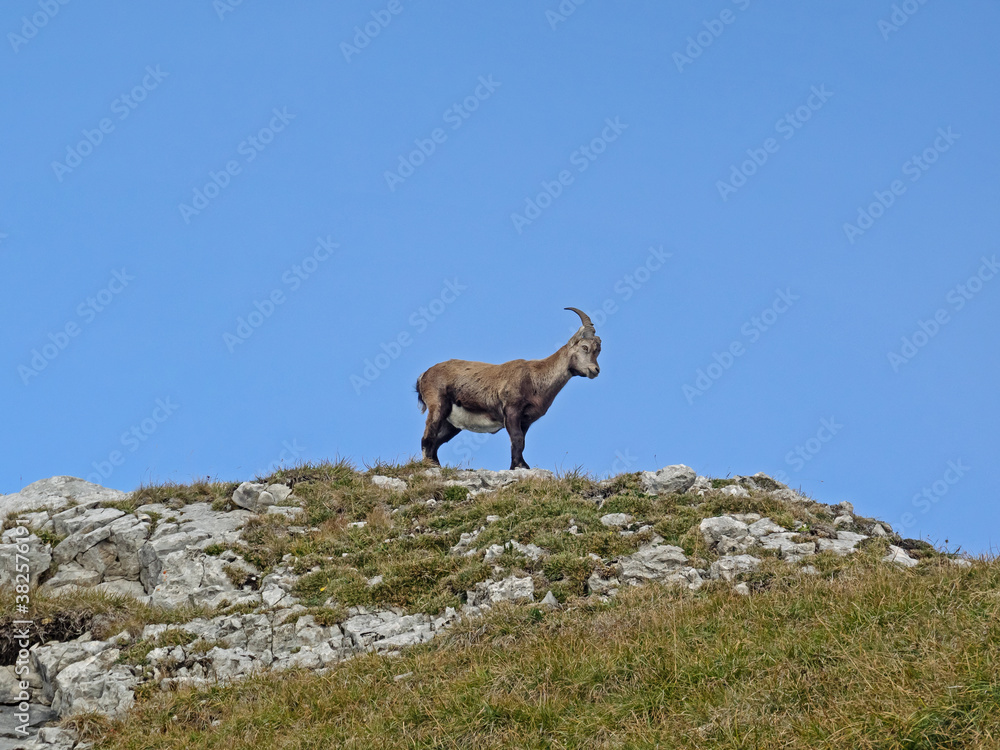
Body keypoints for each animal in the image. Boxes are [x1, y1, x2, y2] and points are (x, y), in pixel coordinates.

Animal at [415, 307, 601, 470]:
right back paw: (430, 466)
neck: (535, 377)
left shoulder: (525, 420)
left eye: (598, 350)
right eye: (584, 347)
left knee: (437, 442)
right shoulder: (511, 410)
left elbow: (520, 442)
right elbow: (517, 439)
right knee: (427, 436)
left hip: (452, 423)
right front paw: (520, 466)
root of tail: (424, 375)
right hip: (438, 405)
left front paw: (517, 466)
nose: (595, 370)